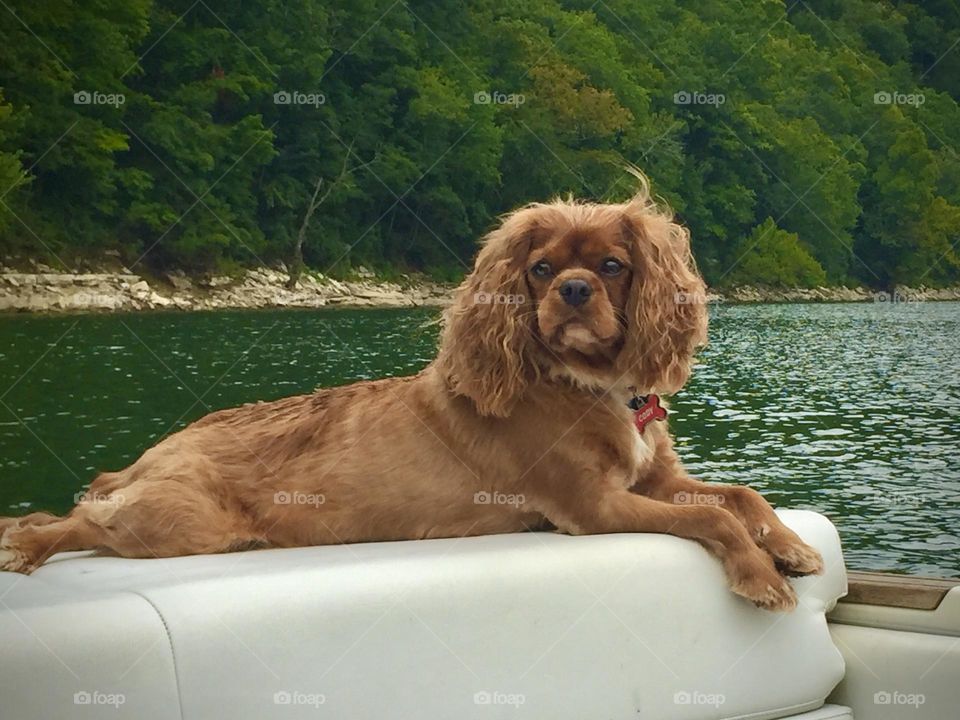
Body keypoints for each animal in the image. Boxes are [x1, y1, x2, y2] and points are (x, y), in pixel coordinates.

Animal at [0, 183, 824, 612]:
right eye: (540, 268)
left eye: (615, 265)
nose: (572, 290)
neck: (596, 388)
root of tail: (145, 457)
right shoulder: (590, 508)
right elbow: (713, 519)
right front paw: (759, 577)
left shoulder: (654, 481)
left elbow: (740, 495)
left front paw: (790, 545)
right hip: (184, 523)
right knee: (78, 522)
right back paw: (27, 546)